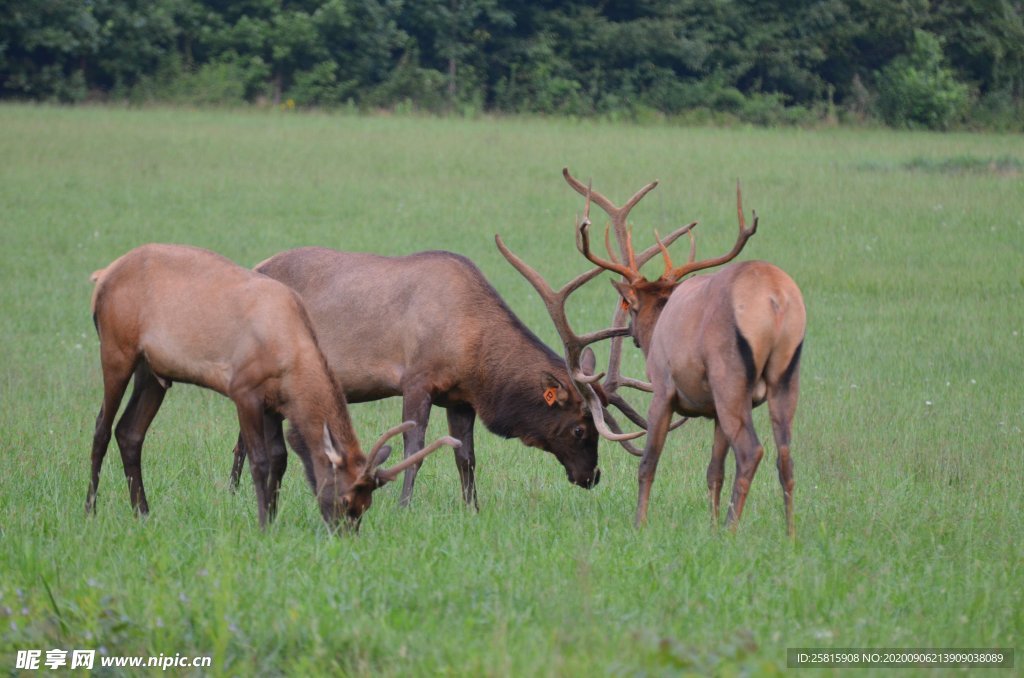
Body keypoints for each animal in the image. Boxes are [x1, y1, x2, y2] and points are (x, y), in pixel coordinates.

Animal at [87, 244, 456, 532]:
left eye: (366, 505)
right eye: (345, 498)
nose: (345, 535)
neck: (290, 356)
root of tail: (102, 276)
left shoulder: (274, 404)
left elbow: (280, 458)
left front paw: (275, 518)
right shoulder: (244, 390)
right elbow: (259, 460)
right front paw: (263, 523)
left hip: (153, 372)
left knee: (130, 432)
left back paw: (143, 513)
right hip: (116, 350)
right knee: (102, 427)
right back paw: (90, 508)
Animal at [228, 246, 622, 507]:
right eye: (580, 429)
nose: (592, 476)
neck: (473, 351)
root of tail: (256, 265)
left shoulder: (460, 397)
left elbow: (466, 456)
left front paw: (472, 508)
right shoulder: (417, 380)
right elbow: (414, 447)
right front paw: (404, 505)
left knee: (243, 437)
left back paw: (234, 491)